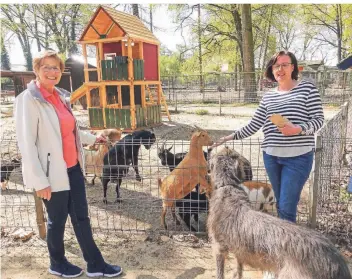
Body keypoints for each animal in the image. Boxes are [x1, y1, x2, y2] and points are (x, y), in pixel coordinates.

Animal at [208, 147, 350, 279]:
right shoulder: (239, 250)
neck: (228, 186)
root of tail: (336, 261)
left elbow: (220, 272)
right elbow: (239, 268)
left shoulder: (219, 247)